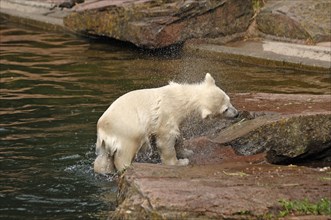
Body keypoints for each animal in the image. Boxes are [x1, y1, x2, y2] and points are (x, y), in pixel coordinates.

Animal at [93, 73, 239, 174]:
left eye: (229, 100)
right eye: (225, 109)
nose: (237, 113)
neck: (182, 98)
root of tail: (101, 126)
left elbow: (179, 136)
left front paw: (187, 152)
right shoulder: (167, 116)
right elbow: (166, 140)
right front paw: (179, 162)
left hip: (106, 142)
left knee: (103, 158)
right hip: (128, 131)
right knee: (124, 153)